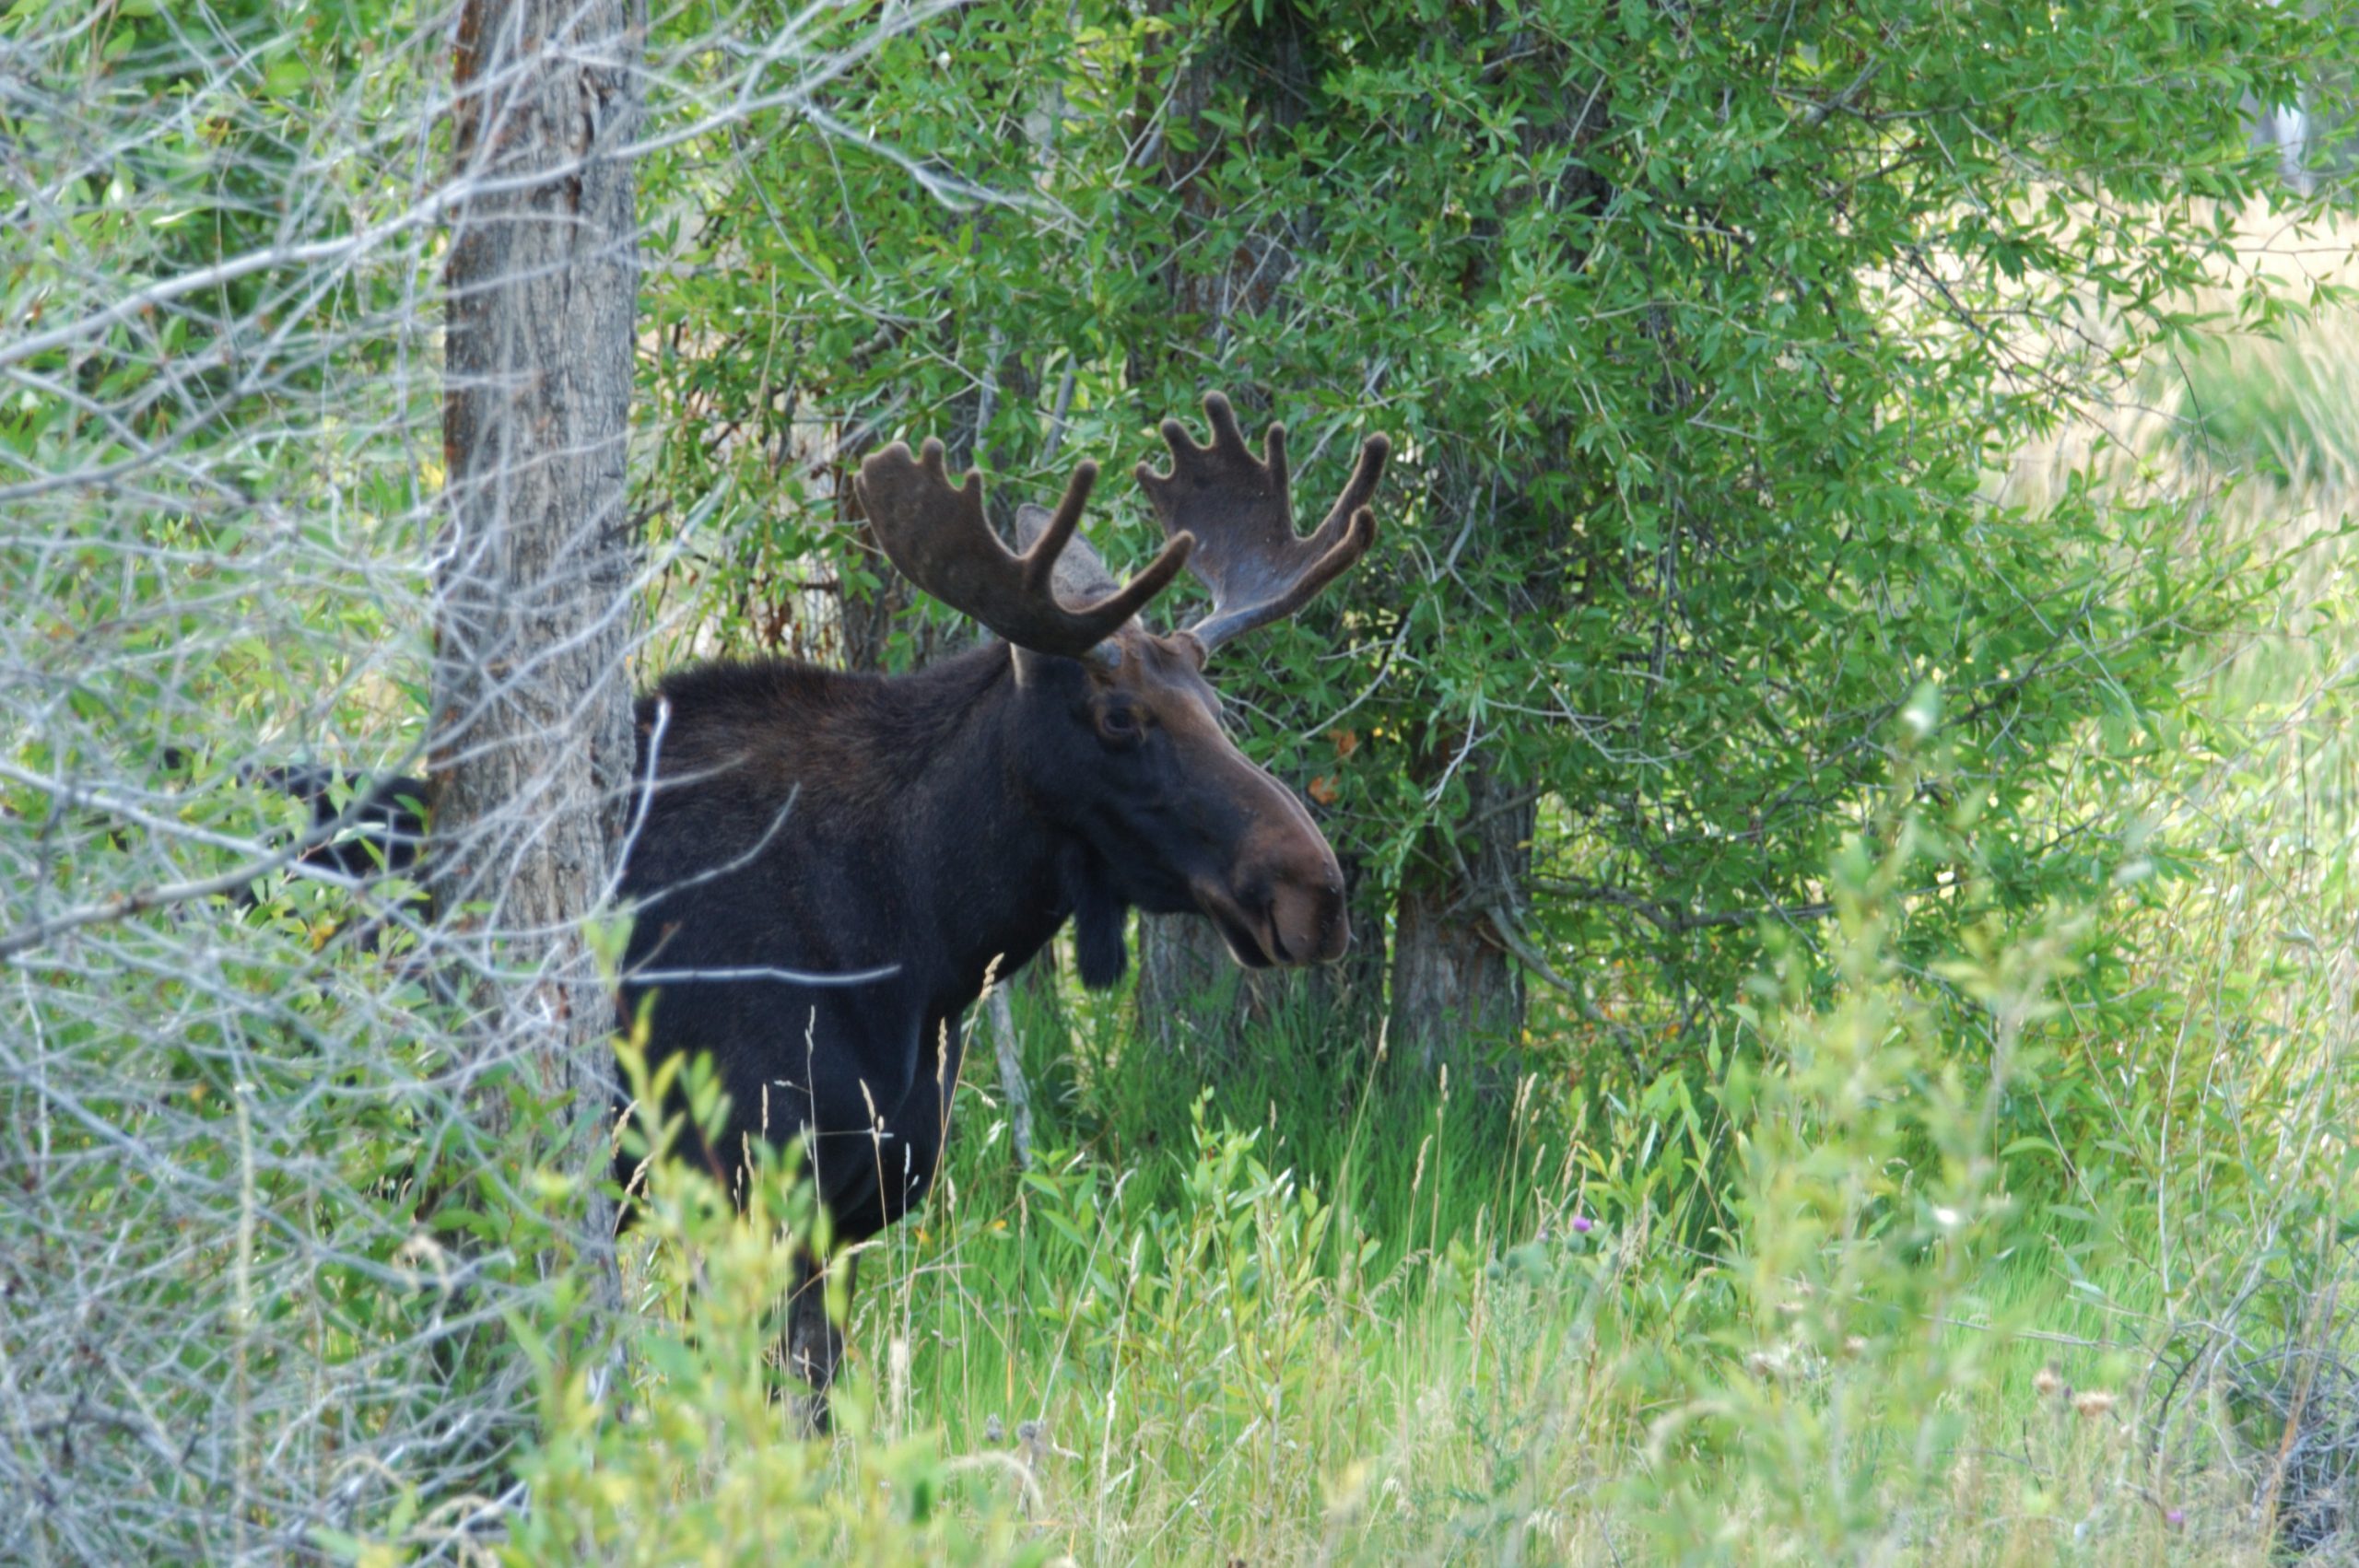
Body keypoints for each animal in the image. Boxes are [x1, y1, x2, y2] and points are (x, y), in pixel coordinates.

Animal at [283, 389, 1378, 1414]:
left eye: (1216, 704)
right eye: (1119, 718)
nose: (1316, 892)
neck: (921, 943)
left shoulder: (843, 1215)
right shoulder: (727, 1188)